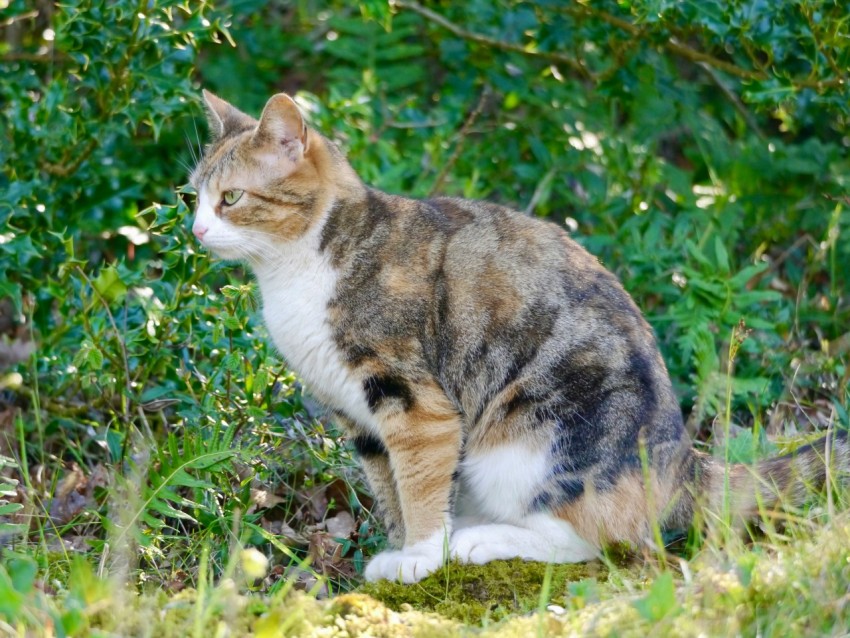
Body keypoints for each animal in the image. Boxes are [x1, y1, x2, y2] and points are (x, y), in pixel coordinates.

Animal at [192, 90, 848, 584]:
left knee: (603, 539)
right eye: (190, 196)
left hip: (534, 434)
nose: (196, 230)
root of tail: (685, 461)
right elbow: (391, 487)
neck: (298, 268)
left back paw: (479, 542)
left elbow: (419, 483)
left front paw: (422, 557)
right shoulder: (360, 418)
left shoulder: (413, 399)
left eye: (232, 197)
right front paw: (400, 549)